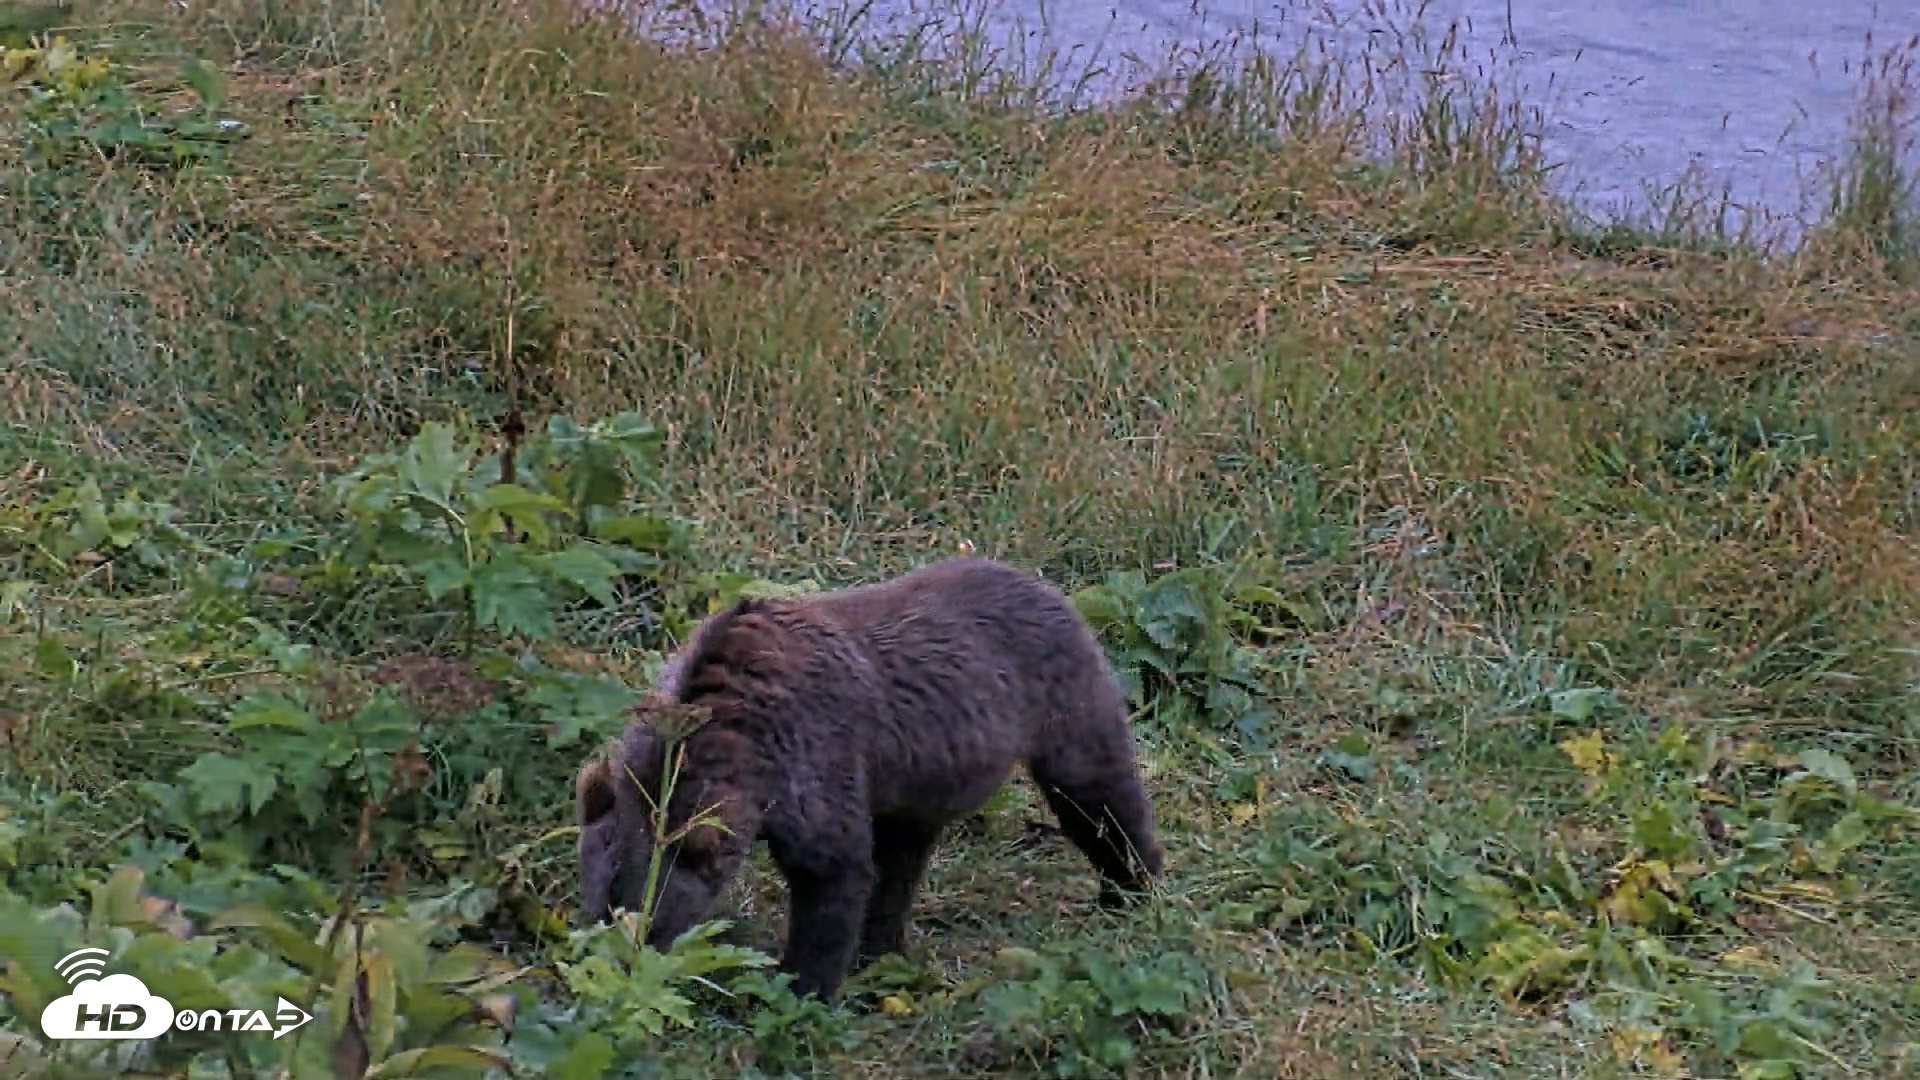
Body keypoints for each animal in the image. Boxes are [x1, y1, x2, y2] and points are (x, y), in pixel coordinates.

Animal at [574, 556, 1165, 1001]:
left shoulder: (811, 757)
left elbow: (833, 873)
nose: (615, 975)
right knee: (901, 861)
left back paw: (1132, 886)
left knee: (1099, 797)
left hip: (1063, 703)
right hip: (920, 777)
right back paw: (881, 948)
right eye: (597, 910)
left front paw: (801, 986)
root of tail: (1048, 585)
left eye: (648, 926)